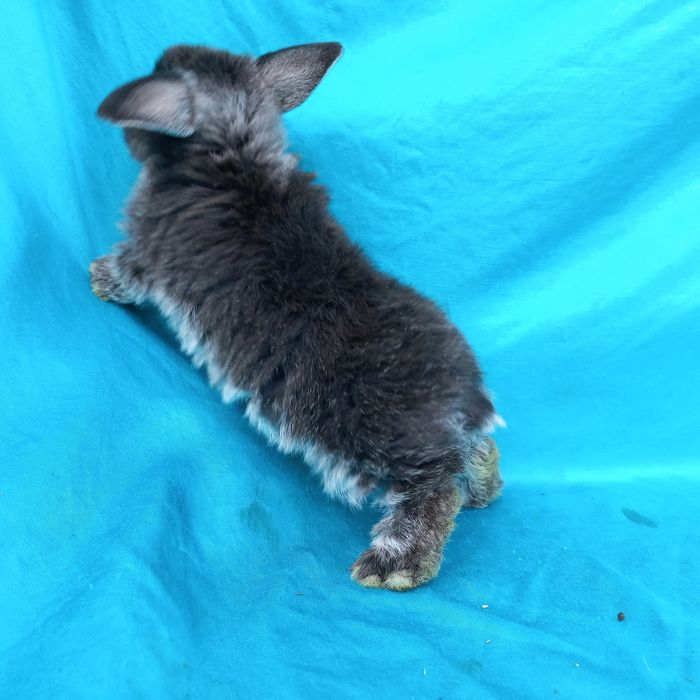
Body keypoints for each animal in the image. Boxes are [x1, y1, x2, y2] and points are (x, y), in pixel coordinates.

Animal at [90, 42, 504, 591]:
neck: (233, 146)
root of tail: (464, 390)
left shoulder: (146, 257)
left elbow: (126, 272)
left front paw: (98, 279)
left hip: (372, 443)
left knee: (434, 491)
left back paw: (395, 565)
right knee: (471, 456)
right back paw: (487, 488)